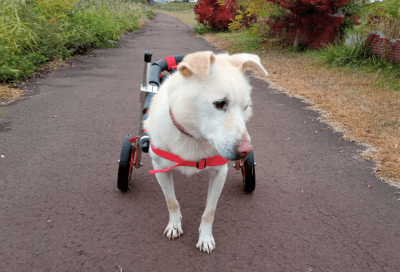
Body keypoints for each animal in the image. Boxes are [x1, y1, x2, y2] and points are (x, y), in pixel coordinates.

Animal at [144, 51, 268, 253]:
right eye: (220, 103)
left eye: (245, 107)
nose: (246, 152)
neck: (194, 137)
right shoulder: (160, 169)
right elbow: (172, 202)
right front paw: (175, 225)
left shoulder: (219, 173)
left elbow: (209, 212)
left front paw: (205, 237)